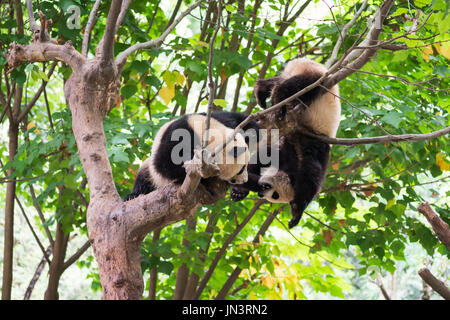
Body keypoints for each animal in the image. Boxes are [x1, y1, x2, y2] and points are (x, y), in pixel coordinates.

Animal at [125, 112, 262, 200]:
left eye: (244, 167)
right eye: (240, 171)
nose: (244, 180)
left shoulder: (214, 118)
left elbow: (241, 120)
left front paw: (250, 133)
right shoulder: (175, 138)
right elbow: (164, 164)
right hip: (152, 174)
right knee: (144, 177)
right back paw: (133, 195)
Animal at [232, 57, 342, 228]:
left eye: (275, 196)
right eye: (271, 192)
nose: (261, 192)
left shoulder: (294, 150)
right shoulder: (311, 145)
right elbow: (313, 172)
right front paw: (297, 211)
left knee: (278, 81)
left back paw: (262, 92)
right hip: (317, 79)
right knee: (295, 86)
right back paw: (276, 101)